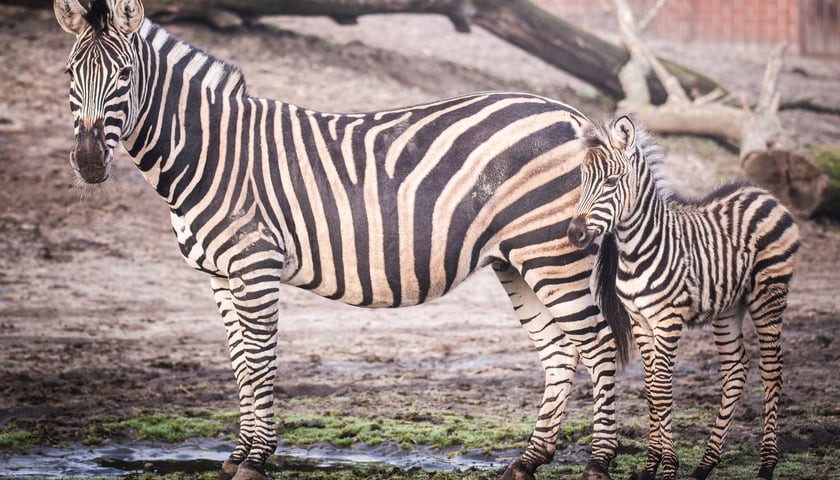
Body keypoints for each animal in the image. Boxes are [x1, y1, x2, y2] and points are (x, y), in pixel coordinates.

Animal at [50, 0, 632, 480]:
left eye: (125, 74)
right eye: (70, 73)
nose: (88, 161)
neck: (210, 152)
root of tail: (573, 114)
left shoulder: (255, 265)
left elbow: (259, 361)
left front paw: (256, 460)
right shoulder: (218, 275)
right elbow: (239, 363)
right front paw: (237, 455)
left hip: (552, 253)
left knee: (598, 345)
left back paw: (599, 464)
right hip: (516, 259)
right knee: (559, 352)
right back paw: (529, 460)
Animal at [568, 116, 796, 480]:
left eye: (612, 182)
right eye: (583, 180)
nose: (574, 234)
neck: (636, 249)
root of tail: (763, 192)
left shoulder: (667, 320)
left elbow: (663, 389)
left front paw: (668, 467)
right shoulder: (640, 321)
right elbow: (651, 390)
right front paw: (650, 467)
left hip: (769, 294)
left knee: (772, 369)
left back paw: (767, 464)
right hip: (729, 306)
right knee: (736, 368)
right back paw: (706, 464)